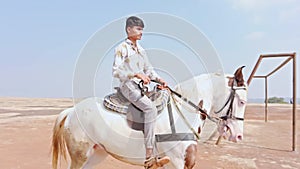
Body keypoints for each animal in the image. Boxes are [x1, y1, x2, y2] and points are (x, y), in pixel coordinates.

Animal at [52, 66, 248, 169]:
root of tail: (71, 112)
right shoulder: (177, 162)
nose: (238, 136)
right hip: (79, 156)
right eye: (242, 101)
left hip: (96, 154)